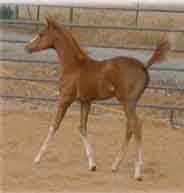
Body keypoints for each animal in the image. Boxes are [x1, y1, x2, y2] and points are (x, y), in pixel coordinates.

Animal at [24, 16, 170, 181]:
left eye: (41, 34)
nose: (27, 47)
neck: (73, 65)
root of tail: (143, 66)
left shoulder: (65, 99)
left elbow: (54, 125)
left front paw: (37, 158)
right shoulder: (85, 101)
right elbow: (82, 128)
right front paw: (92, 165)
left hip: (128, 102)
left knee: (136, 126)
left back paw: (137, 172)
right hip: (130, 103)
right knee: (130, 127)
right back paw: (115, 165)